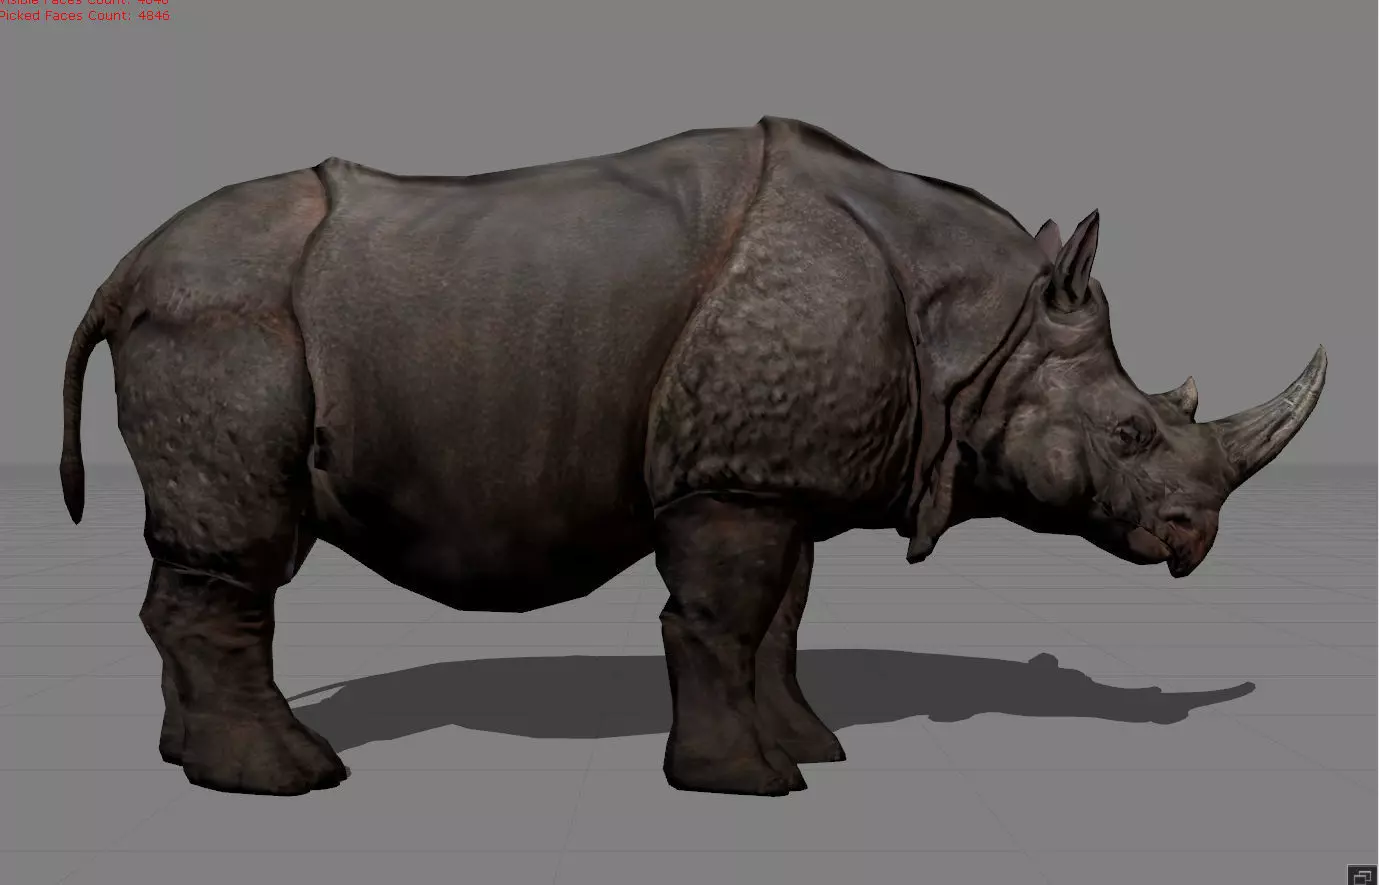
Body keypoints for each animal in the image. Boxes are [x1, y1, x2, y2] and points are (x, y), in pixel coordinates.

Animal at [59, 116, 1326, 798]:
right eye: (1129, 433)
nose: (1194, 539)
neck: (980, 327)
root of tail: (118, 273)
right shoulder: (730, 478)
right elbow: (720, 618)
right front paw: (750, 783)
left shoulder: (774, 472)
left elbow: (780, 619)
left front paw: (811, 747)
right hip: (220, 315)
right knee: (242, 552)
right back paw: (291, 778)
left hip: (205, 307)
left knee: (203, 562)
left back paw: (191, 761)